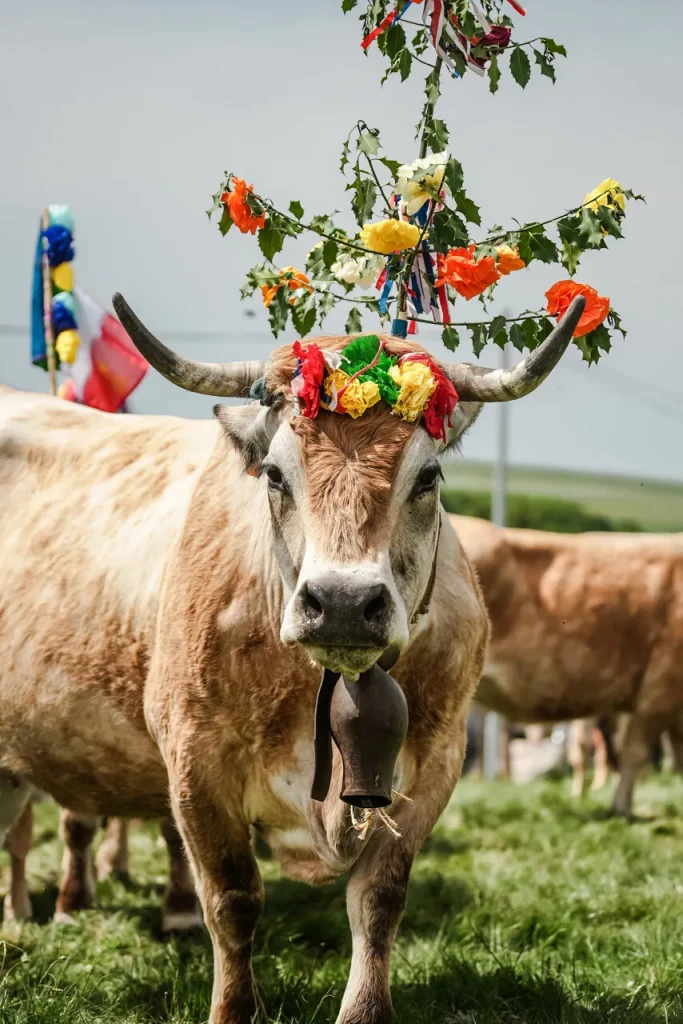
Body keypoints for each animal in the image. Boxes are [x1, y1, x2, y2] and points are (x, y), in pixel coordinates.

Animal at [0, 294, 583, 1024]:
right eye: (275, 474)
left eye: (427, 476)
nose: (341, 603)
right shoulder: (195, 766)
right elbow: (232, 900)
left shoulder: (436, 765)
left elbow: (379, 900)